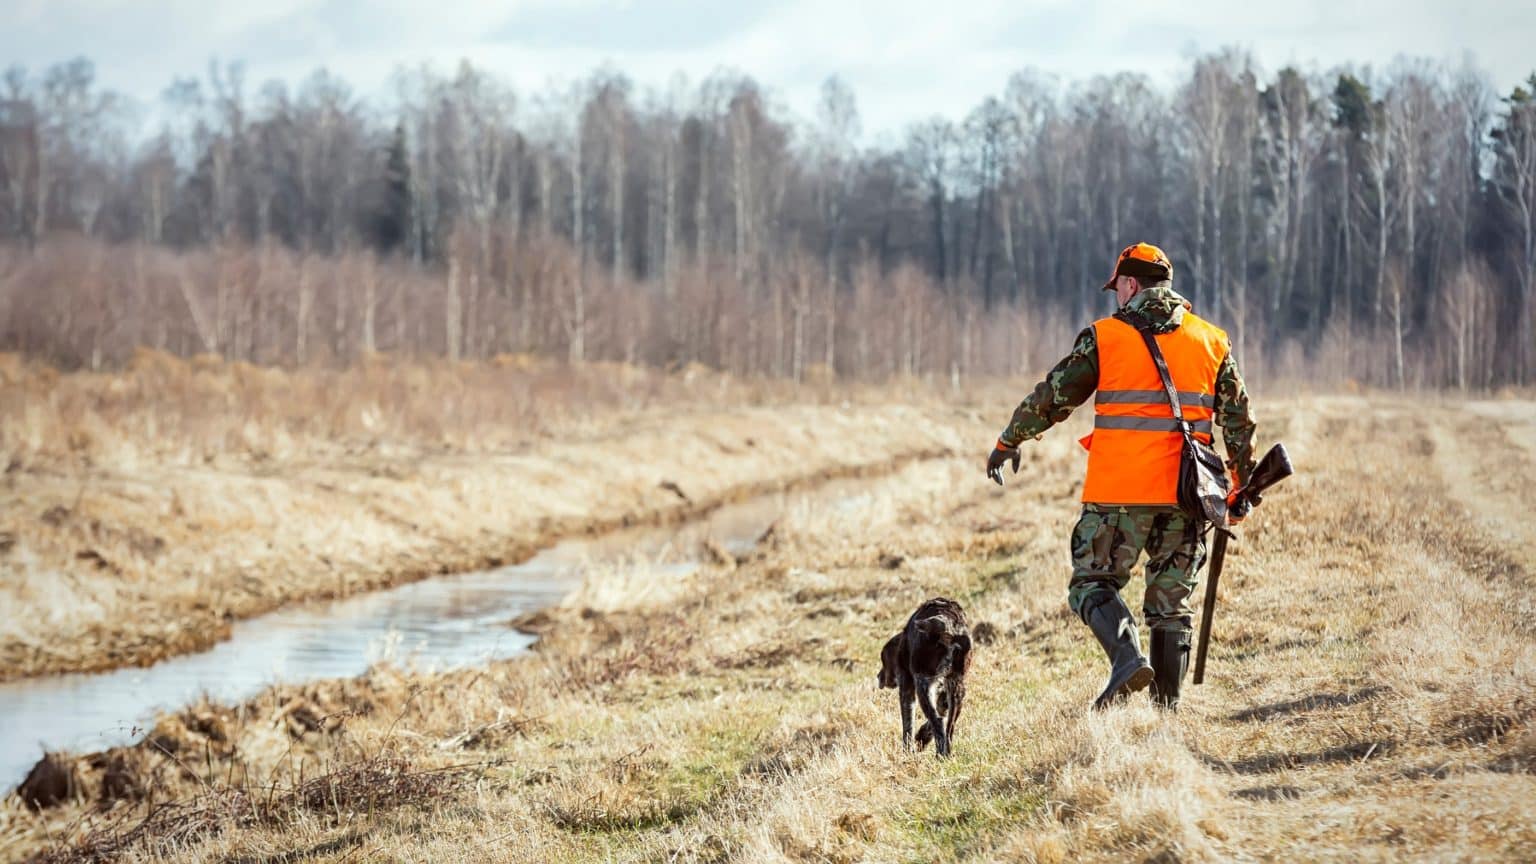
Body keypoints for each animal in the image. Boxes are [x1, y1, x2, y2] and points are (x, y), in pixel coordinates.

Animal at [878, 599, 970, 753]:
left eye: (883, 660)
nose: (878, 677)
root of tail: (949, 626)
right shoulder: (944, 692)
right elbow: (940, 713)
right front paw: (922, 738)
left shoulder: (907, 687)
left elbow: (908, 726)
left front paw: (907, 752)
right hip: (956, 687)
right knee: (948, 727)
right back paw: (946, 753)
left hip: (923, 685)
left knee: (938, 722)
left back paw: (940, 755)